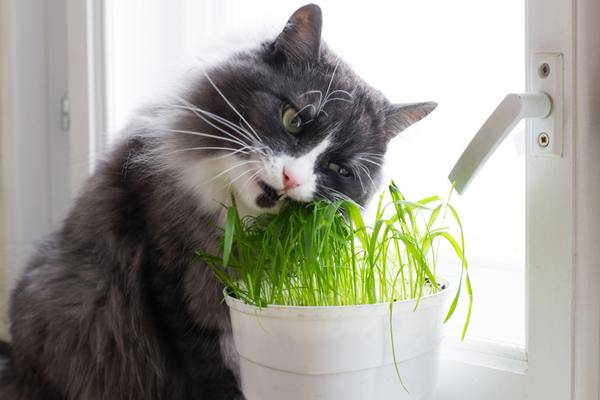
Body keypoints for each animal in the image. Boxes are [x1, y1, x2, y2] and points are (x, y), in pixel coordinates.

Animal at [0, 3, 434, 400]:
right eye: (294, 119)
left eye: (339, 169)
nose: (292, 179)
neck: (237, 218)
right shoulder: (170, 279)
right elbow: (207, 369)